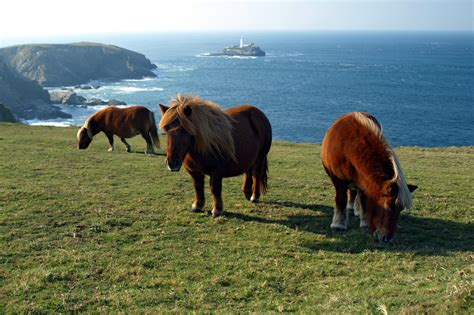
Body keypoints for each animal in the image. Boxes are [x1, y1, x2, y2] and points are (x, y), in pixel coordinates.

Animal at [320, 113, 416, 244]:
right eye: (387, 207)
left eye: (400, 209)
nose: (386, 238)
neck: (350, 147)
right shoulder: (339, 181)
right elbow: (341, 200)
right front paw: (338, 225)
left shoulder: (364, 182)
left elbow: (364, 202)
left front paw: (364, 222)